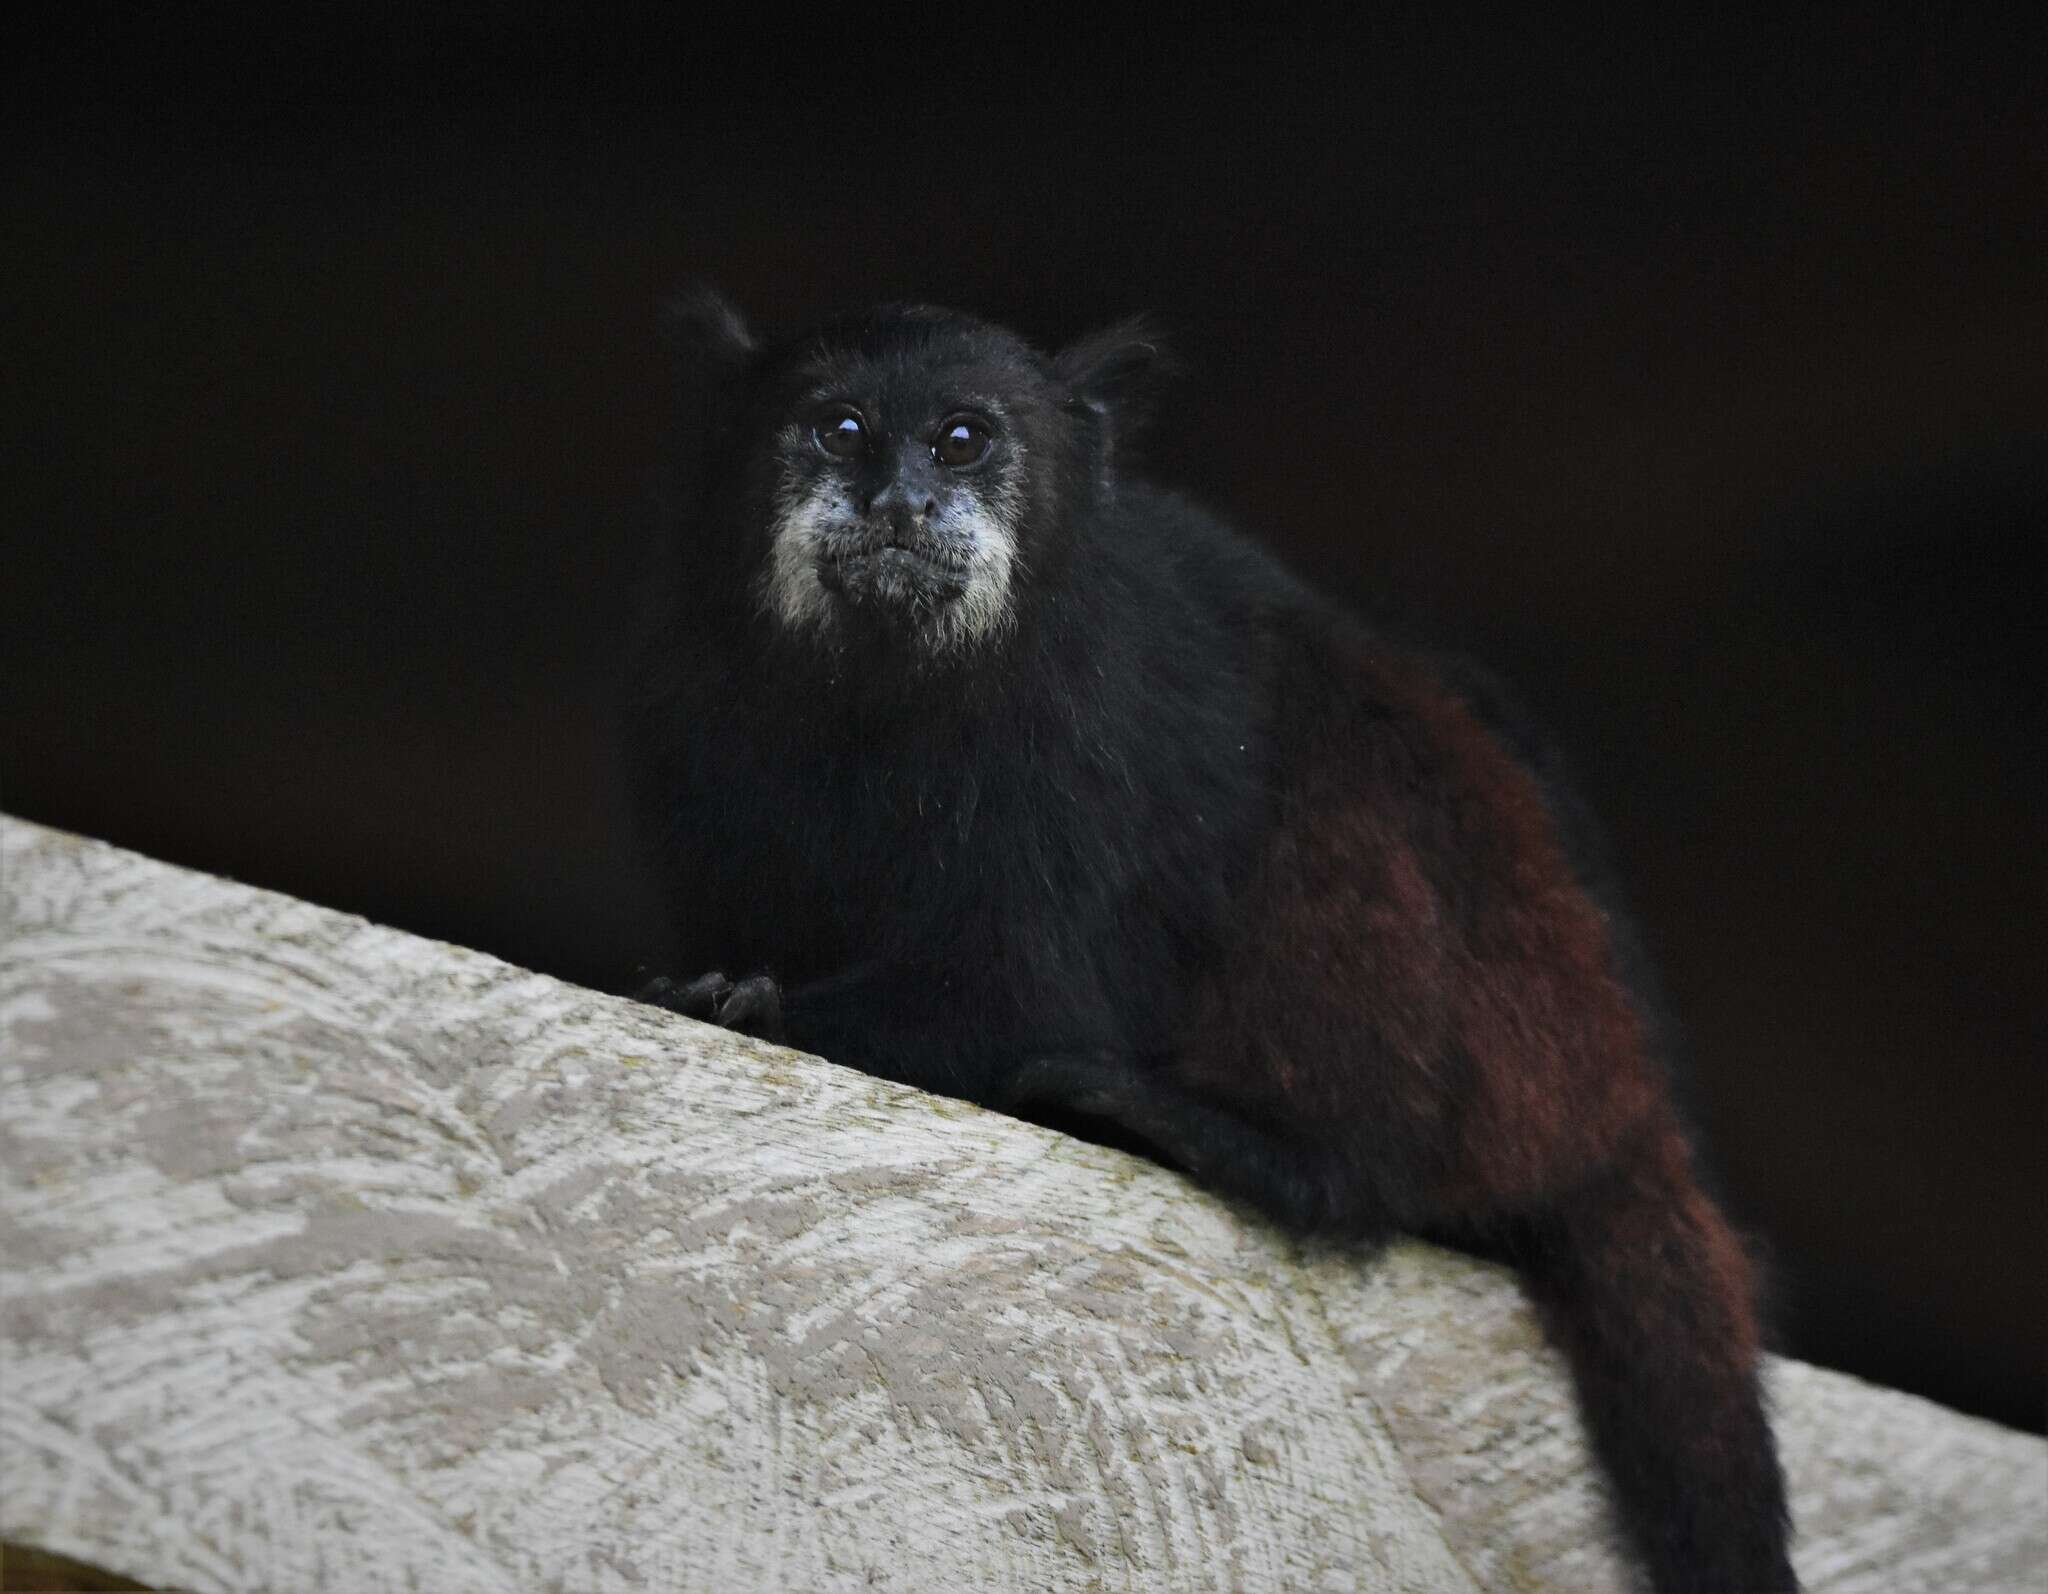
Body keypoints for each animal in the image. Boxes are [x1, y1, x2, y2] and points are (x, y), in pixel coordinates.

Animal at [626, 288, 1794, 1589]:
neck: (886, 698)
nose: (899, 502)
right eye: (838, 428)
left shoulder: (1080, 744)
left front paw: (753, 1004)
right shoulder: (693, 713)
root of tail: (1627, 1099)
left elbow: (1018, 1000)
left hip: (1524, 1017)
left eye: (962, 440)